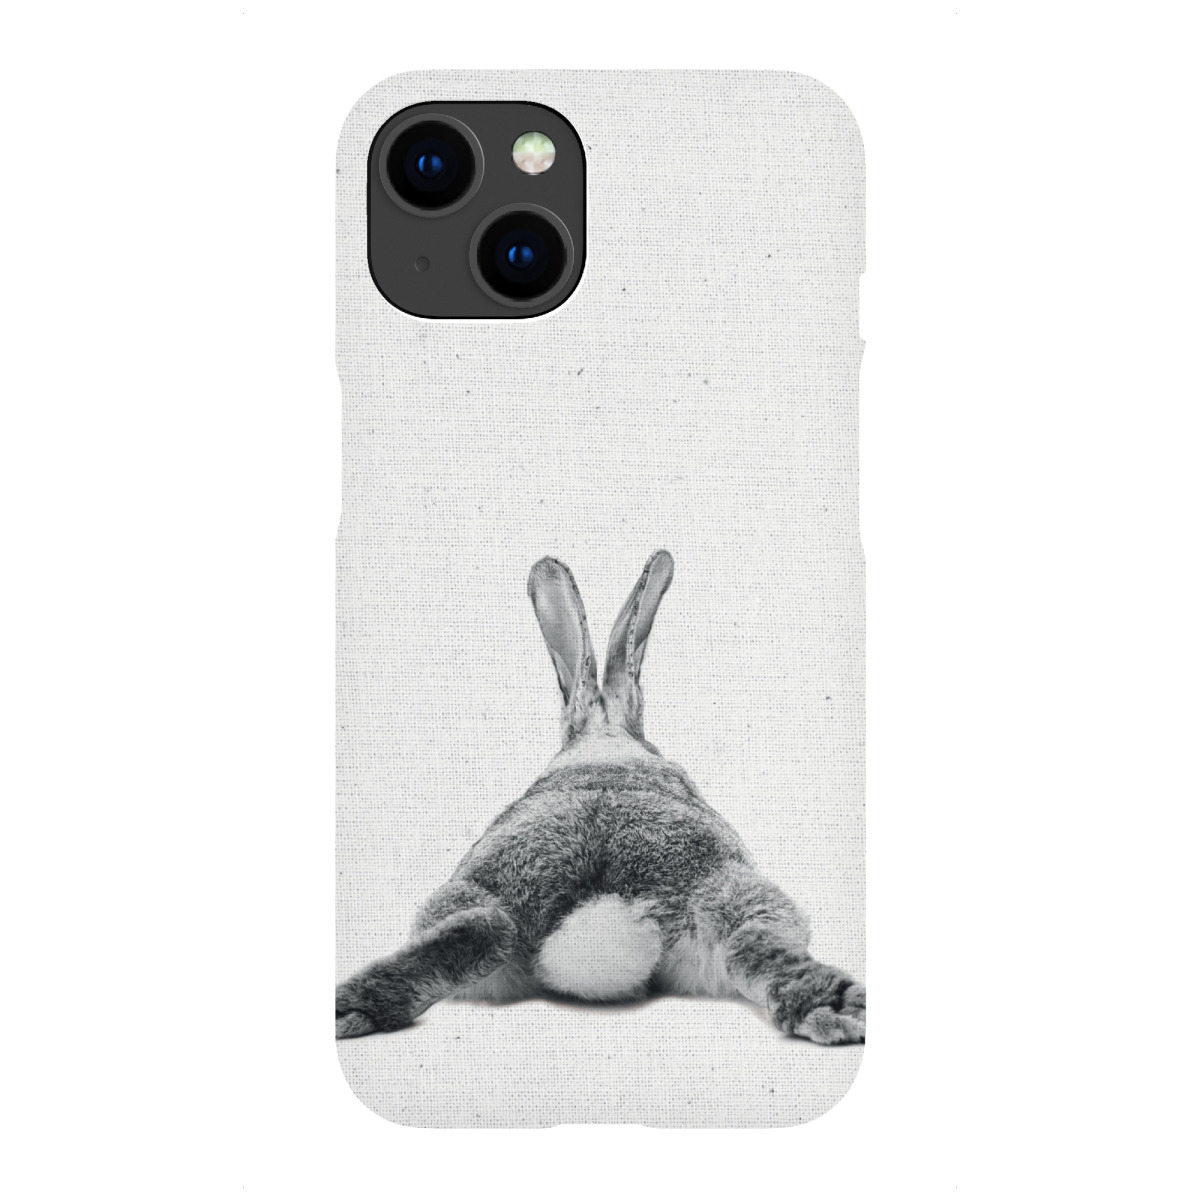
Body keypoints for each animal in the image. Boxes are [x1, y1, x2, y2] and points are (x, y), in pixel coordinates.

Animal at [336, 550, 865, 1045]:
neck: (605, 741)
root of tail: (603, 911)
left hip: (473, 901)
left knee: (483, 929)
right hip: (740, 896)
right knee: (750, 944)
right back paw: (840, 1008)